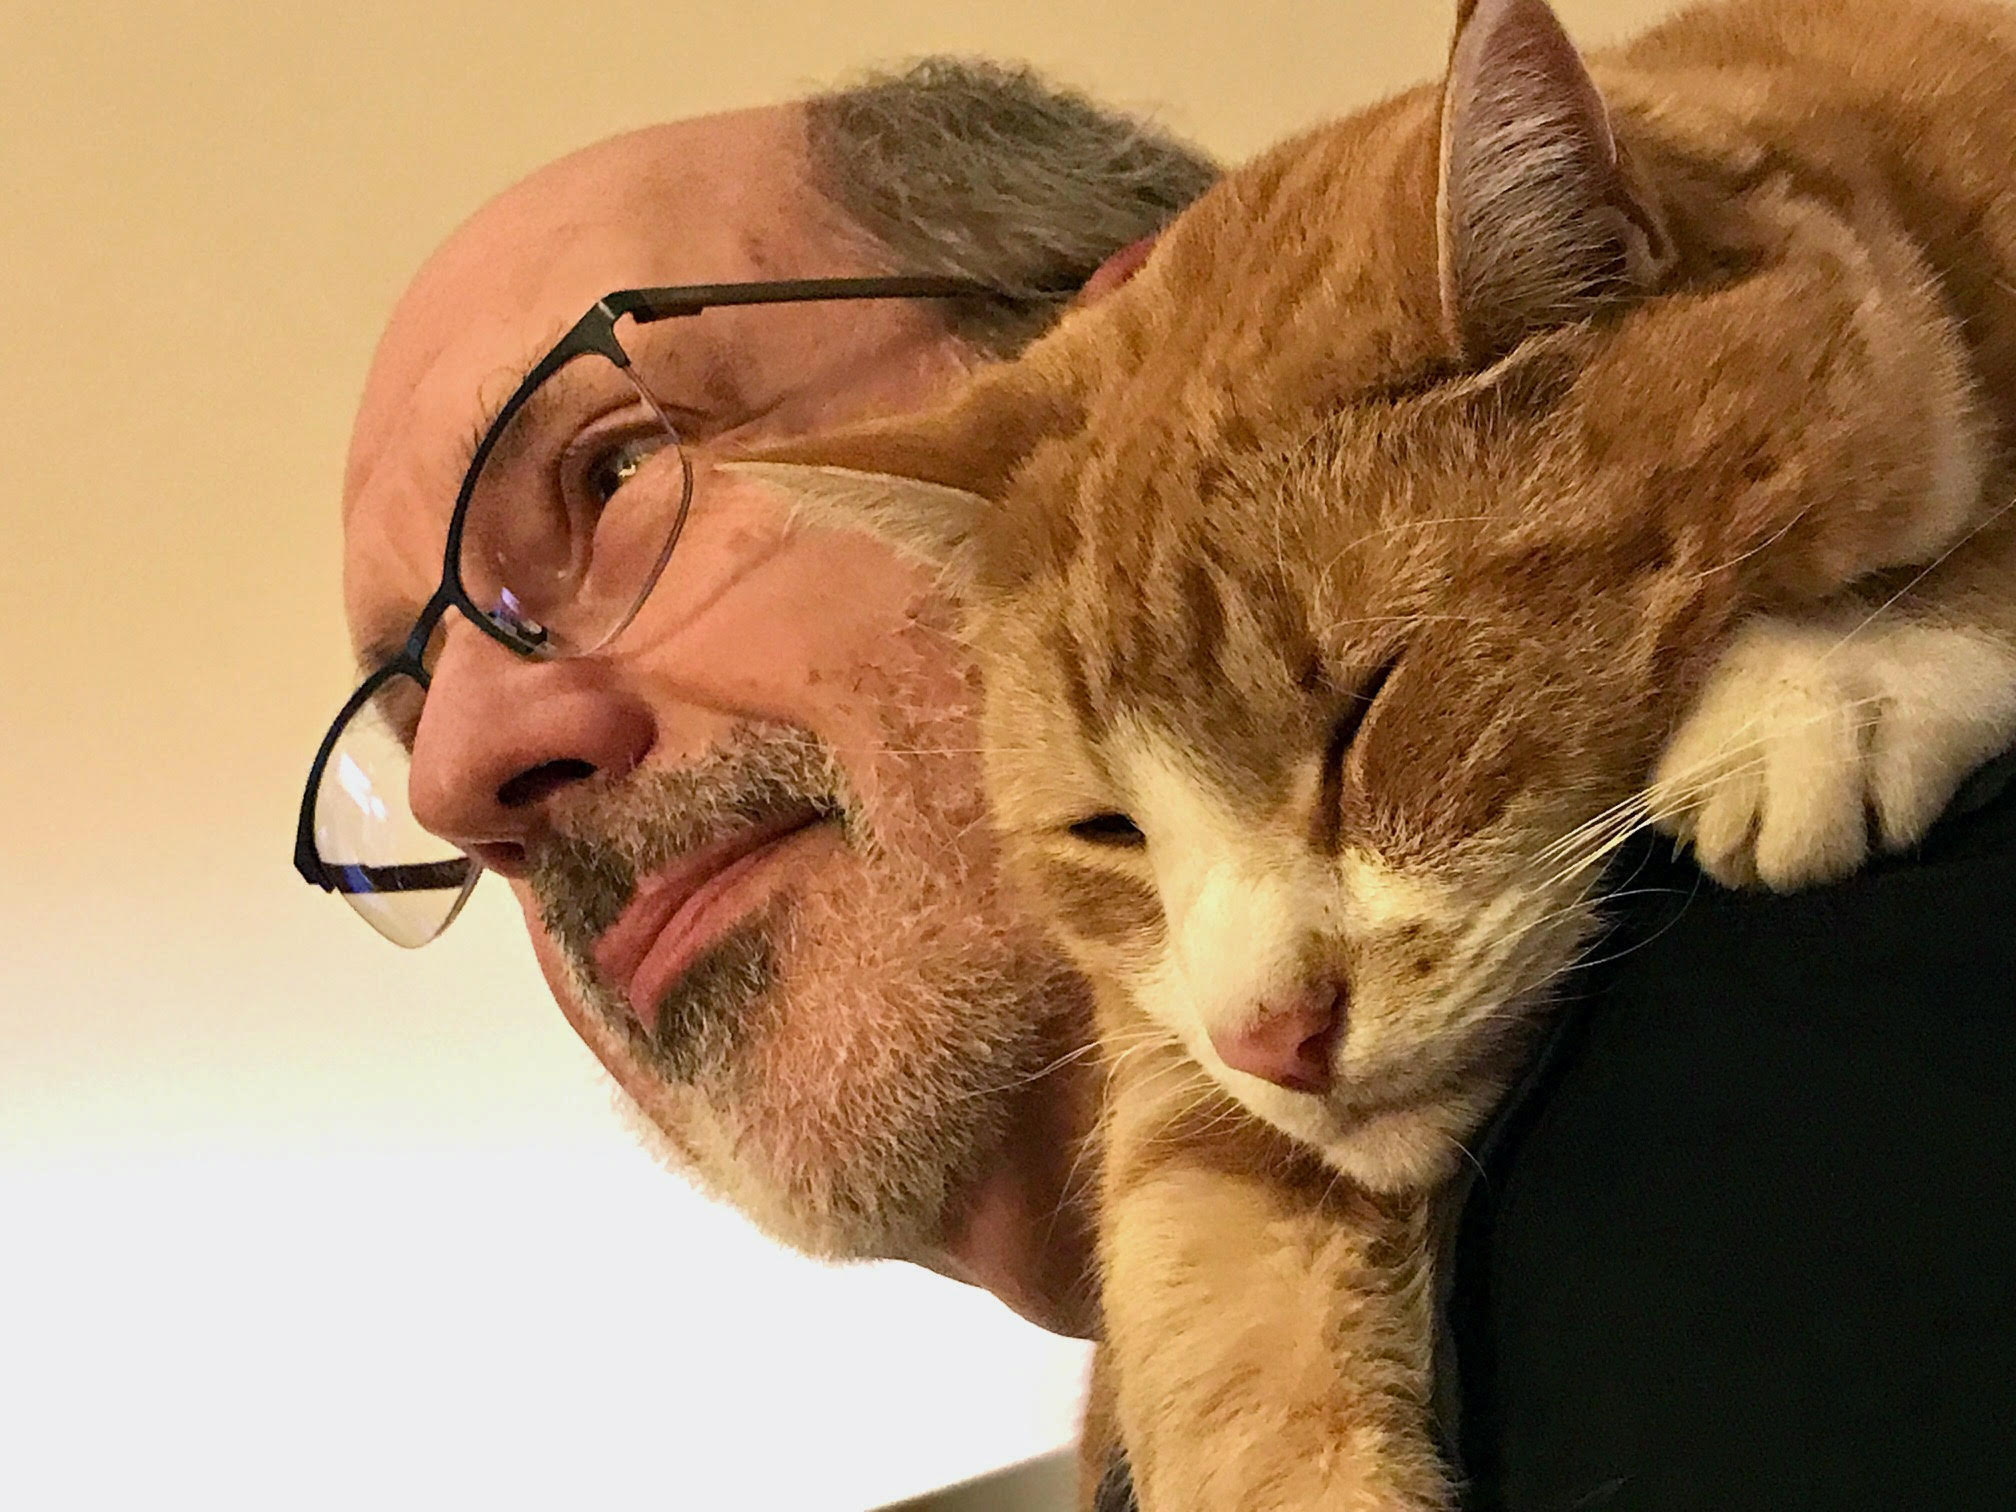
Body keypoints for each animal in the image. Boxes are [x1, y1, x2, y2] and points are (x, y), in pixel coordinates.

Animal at [745, 0, 2016, 1507]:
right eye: (1107, 831)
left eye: (1366, 710)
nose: (1273, 1037)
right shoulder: (1179, 1078)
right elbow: (1220, 1325)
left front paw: (1833, 675)